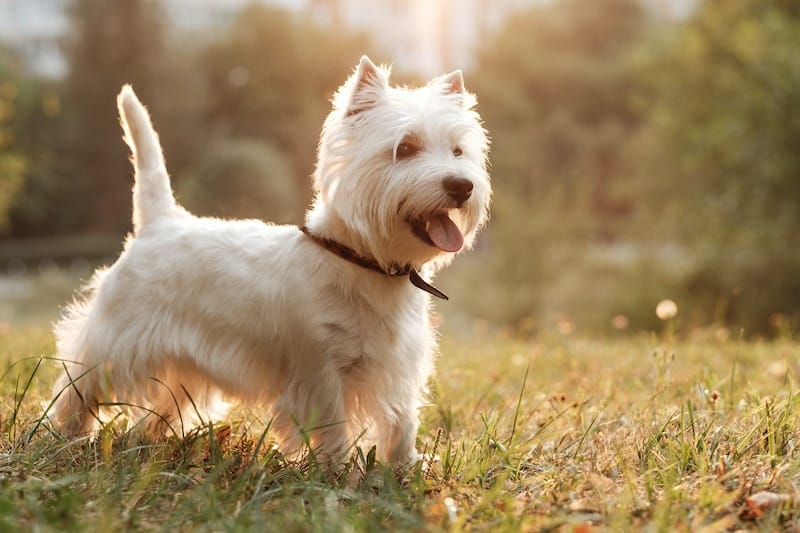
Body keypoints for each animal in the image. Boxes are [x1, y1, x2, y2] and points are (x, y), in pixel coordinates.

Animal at [50, 57, 490, 462]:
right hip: (117, 339)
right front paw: (338, 472)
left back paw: (153, 441)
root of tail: (160, 221)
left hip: (182, 360)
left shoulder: (399, 366)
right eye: (406, 148)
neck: (364, 261)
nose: (461, 186)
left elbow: (402, 423)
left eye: (458, 151)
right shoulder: (319, 368)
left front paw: (404, 469)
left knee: (162, 403)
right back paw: (66, 438)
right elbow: (333, 425)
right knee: (79, 385)